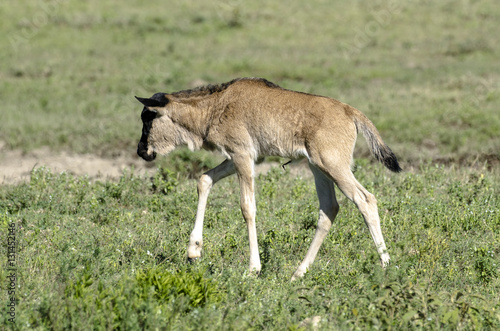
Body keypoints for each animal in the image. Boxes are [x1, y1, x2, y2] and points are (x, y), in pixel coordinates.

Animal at [135, 78, 400, 280]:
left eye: (148, 118)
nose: (141, 151)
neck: (215, 105)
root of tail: (350, 111)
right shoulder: (241, 156)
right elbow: (204, 180)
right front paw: (193, 251)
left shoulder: (242, 155)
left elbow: (247, 208)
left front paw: (253, 268)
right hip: (318, 168)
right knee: (329, 209)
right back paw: (299, 272)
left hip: (334, 166)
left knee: (366, 200)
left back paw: (387, 265)